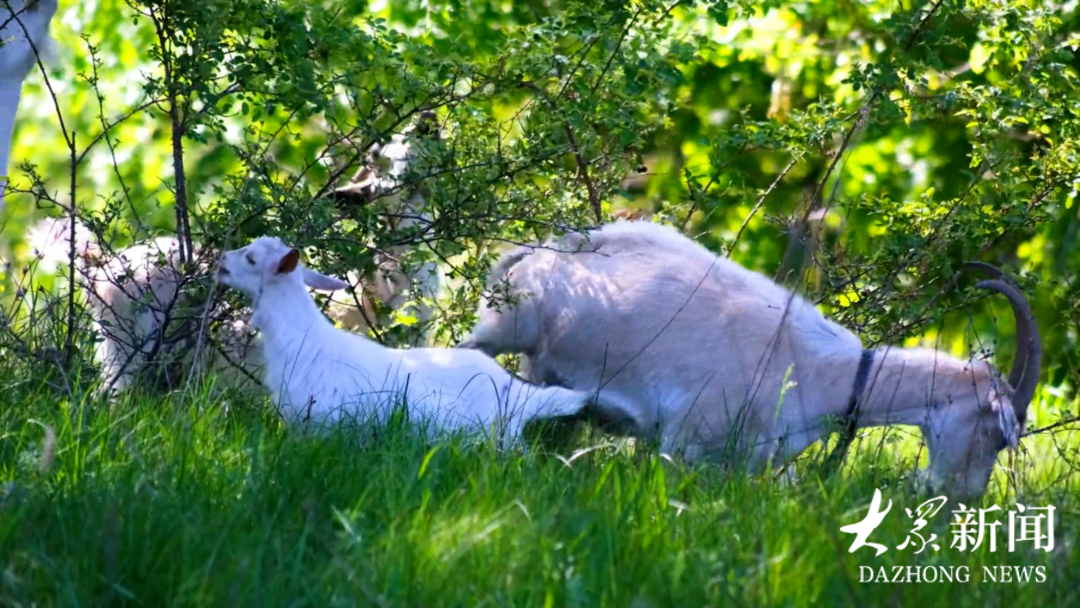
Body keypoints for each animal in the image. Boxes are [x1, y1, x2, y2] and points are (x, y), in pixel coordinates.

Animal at [458, 219, 1042, 497]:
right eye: (995, 434)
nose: (961, 500)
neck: (821, 369)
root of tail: (531, 254)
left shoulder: (750, 461)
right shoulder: (686, 439)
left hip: (547, 371)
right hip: (504, 328)